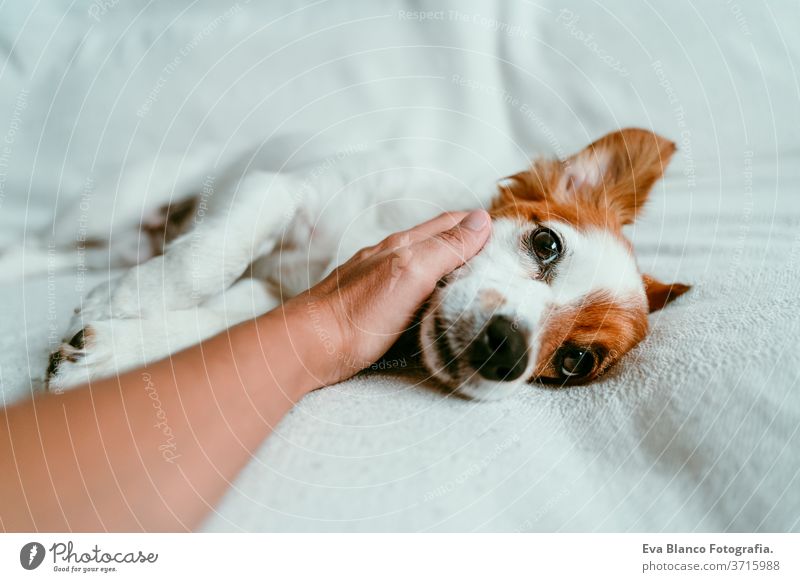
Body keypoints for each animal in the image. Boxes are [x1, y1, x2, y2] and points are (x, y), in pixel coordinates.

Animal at [43, 128, 692, 402]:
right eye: (546, 244)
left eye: (575, 361)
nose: (507, 351)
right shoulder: (278, 191)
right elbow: (207, 258)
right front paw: (126, 302)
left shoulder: (276, 293)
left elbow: (222, 321)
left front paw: (114, 351)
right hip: (108, 208)